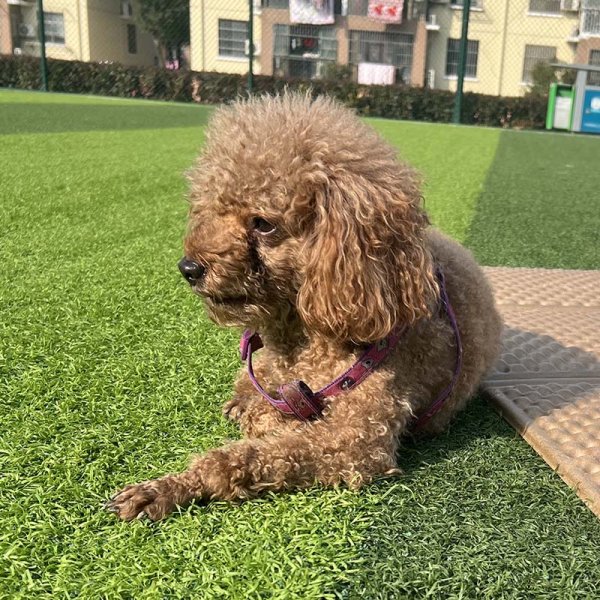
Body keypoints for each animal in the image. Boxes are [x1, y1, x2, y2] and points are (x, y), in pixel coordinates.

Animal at [108, 93, 502, 521]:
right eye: (212, 208)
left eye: (263, 223)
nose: (189, 268)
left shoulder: (356, 438)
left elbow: (246, 456)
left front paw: (170, 487)